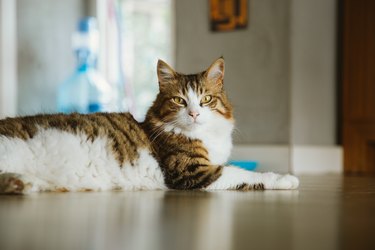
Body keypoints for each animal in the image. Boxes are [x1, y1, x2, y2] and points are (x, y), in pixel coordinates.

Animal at [0, 57, 300, 194]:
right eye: (180, 100)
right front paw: (286, 179)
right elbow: (245, 174)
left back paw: (26, 183)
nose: (194, 113)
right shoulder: (192, 172)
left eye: (206, 99)